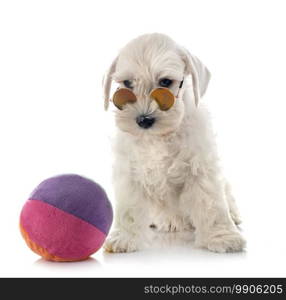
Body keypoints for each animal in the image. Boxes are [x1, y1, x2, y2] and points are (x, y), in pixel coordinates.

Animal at [102, 33, 246, 253]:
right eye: (127, 83)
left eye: (165, 82)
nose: (144, 120)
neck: (159, 137)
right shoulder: (129, 171)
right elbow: (129, 208)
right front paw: (124, 237)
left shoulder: (200, 166)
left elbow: (211, 204)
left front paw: (222, 237)